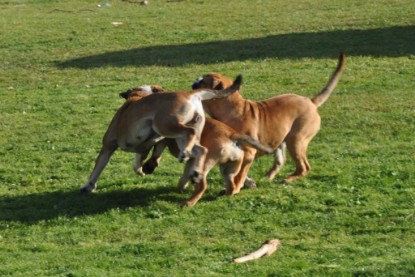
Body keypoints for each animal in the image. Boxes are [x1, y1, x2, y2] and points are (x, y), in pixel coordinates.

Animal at [80, 75, 244, 192]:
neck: (139, 95)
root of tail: (191, 94)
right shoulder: (146, 146)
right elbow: (138, 162)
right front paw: (144, 170)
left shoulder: (108, 146)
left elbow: (97, 168)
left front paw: (88, 186)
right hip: (184, 130)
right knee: (201, 149)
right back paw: (194, 168)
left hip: (163, 124)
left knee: (189, 133)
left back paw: (185, 155)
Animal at [119, 85, 272, 205]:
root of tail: (232, 135)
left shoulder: (159, 138)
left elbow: (150, 154)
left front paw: (147, 166)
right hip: (227, 166)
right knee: (230, 182)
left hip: (207, 163)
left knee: (202, 184)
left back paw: (189, 201)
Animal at [193, 52, 348, 194]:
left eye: (203, 81)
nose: (196, 79)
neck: (231, 108)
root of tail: (311, 101)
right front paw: (247, 183)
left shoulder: (248, 153)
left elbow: (240, 174)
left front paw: (235, 188)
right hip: (281, 141)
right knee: (280, 161)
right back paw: (268, 177)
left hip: (296, 140)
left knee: (304, 167)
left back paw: (286, 179)